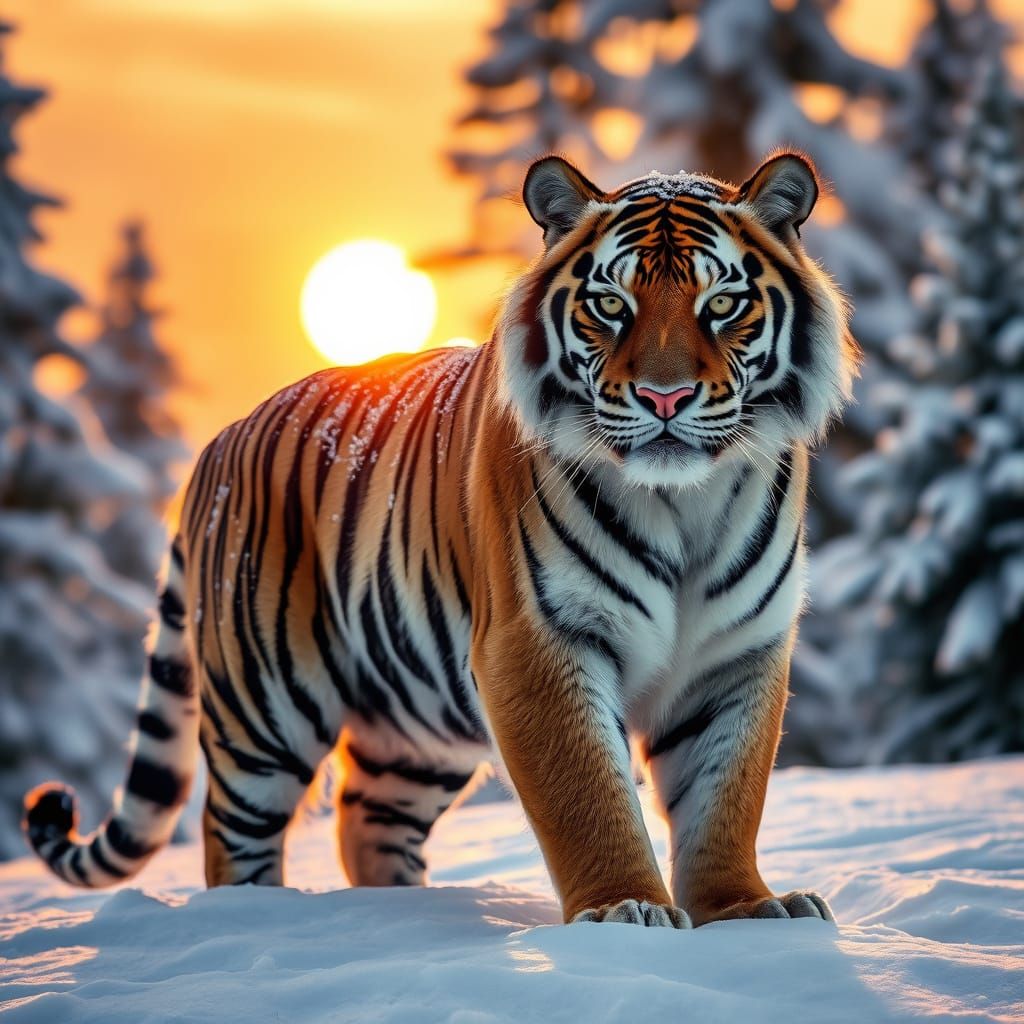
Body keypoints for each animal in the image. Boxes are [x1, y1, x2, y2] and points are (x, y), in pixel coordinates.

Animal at [24, 152, 857, 928]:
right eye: (609, 305)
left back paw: (404, 914)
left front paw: (747, 909)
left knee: (367, 820)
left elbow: (726, 800)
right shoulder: (537, 641)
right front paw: (624, 910)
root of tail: (217, 444)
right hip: (262, 707)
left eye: (723, 304)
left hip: (413, 731)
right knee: (233, 835)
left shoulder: (737, 654)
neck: (684, 504)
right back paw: (258, 920)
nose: (665, 397)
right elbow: (587, 796)